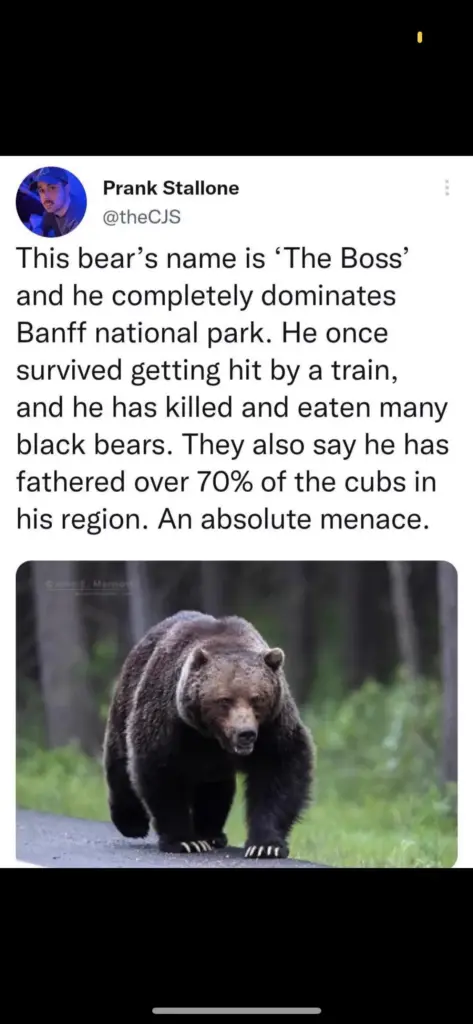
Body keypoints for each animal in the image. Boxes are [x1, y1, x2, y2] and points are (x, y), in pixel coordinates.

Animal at [103, 609, 315, 859]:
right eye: (225, 700)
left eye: (257, 699)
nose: (246, 733)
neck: (212, 737)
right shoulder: (169, 722)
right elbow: (160, 771)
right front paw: (185, 841)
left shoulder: (272, 726)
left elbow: (279, 770)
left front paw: (265, 845)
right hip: (127, 699)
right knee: (120, 763)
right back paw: (132, 823)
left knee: (215, 789)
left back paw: (212, 833)